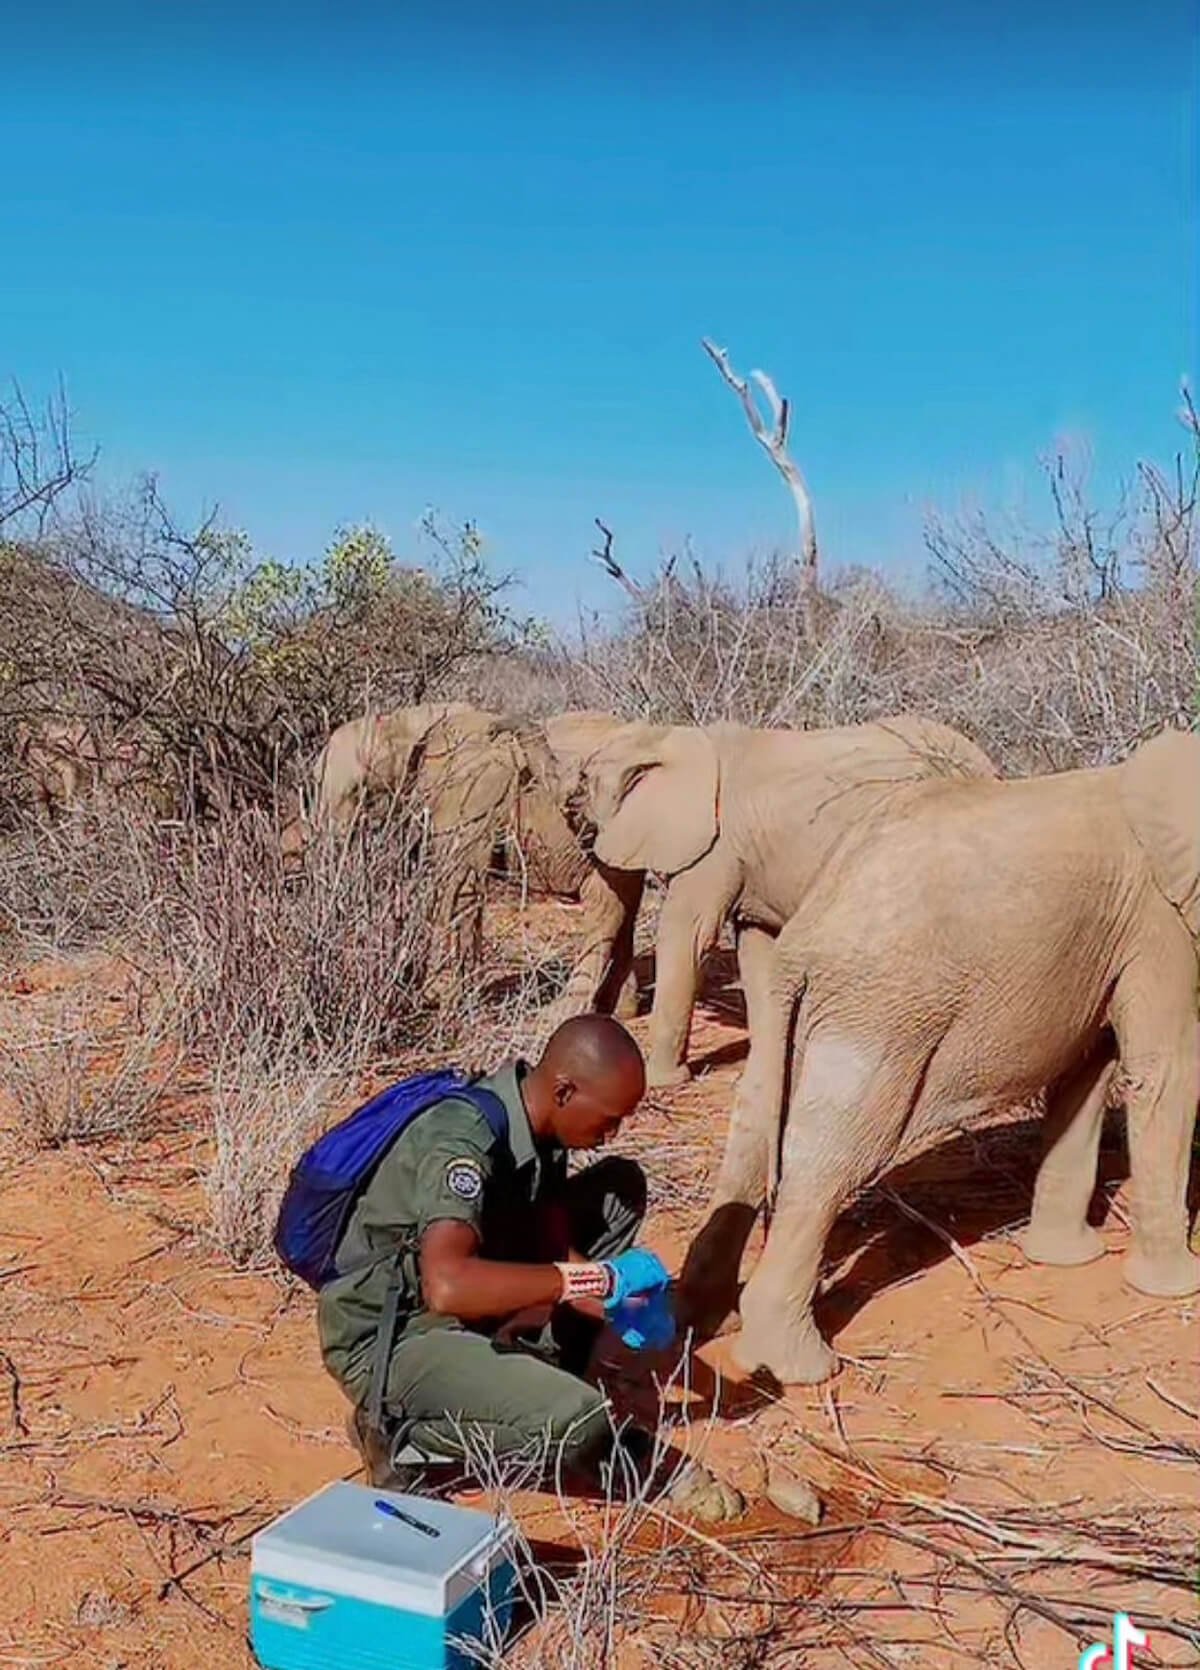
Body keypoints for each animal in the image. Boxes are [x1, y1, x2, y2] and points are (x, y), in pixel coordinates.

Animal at [557, 711, 1001, 1088]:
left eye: (584, 778)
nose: (566, 808)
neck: (668, 737)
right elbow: (758, 949)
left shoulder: (716, 848)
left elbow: (687, 934)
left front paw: (661, 1082)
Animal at [684, 724, 1200, 1389]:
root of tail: (804, 936)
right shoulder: (1160, 924)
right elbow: (1164, 1073)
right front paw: (1179, 1288)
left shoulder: (1100, 944)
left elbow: (1086, 1074)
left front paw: (1065, 1259)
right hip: (880, 1015)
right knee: (833, 1156)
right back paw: (801, 1368)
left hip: (802, 1005)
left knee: (756, 1112)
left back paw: (706, 1319)